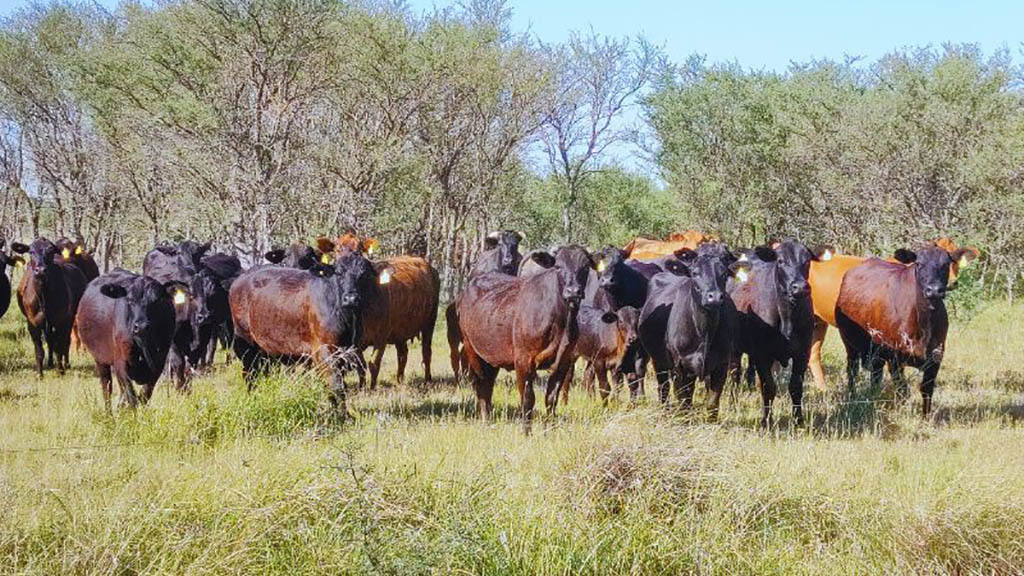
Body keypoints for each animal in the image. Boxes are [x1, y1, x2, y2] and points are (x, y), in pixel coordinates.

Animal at [230, 251, 389, 412]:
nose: (351, 299)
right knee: (250, 374)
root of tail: (242, 277)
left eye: (365, 274)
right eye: (338, 273)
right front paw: (343, 415)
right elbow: (336, 385)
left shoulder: (348, 350)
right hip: (246, 343)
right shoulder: (324, 349)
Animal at [460, 242, 598, 430]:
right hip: (472, 350)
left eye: (585, 267)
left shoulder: (563, 361)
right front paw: (527, 432)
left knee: (488, 384)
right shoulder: (523, 360)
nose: (573, 292)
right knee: (480, 384)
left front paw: (549, 429)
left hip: (491, 358)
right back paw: (485, 421)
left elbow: (551, 399)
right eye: (558, 266)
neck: (560, 323)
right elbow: (528, 399)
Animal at [634, 241, 749, 416]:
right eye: (696, 273)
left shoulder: (721, 364)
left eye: (724, 273)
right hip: (659, 360)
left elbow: (712, 403)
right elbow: (684, 402)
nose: (715, 297)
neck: (704, 330)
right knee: (663, 388)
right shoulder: (680, 365)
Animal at [831, 243, 966, 414]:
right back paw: (853, 396)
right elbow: (902, 389)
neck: (924, 325)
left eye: (946, 264)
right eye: (919, 264)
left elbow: (926, 389)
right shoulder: (894, 356)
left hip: (876, 353)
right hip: (850, 344)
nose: (934, 290)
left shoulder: (936, 355)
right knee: (852, 371)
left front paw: (926, 416)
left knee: (875, 375)